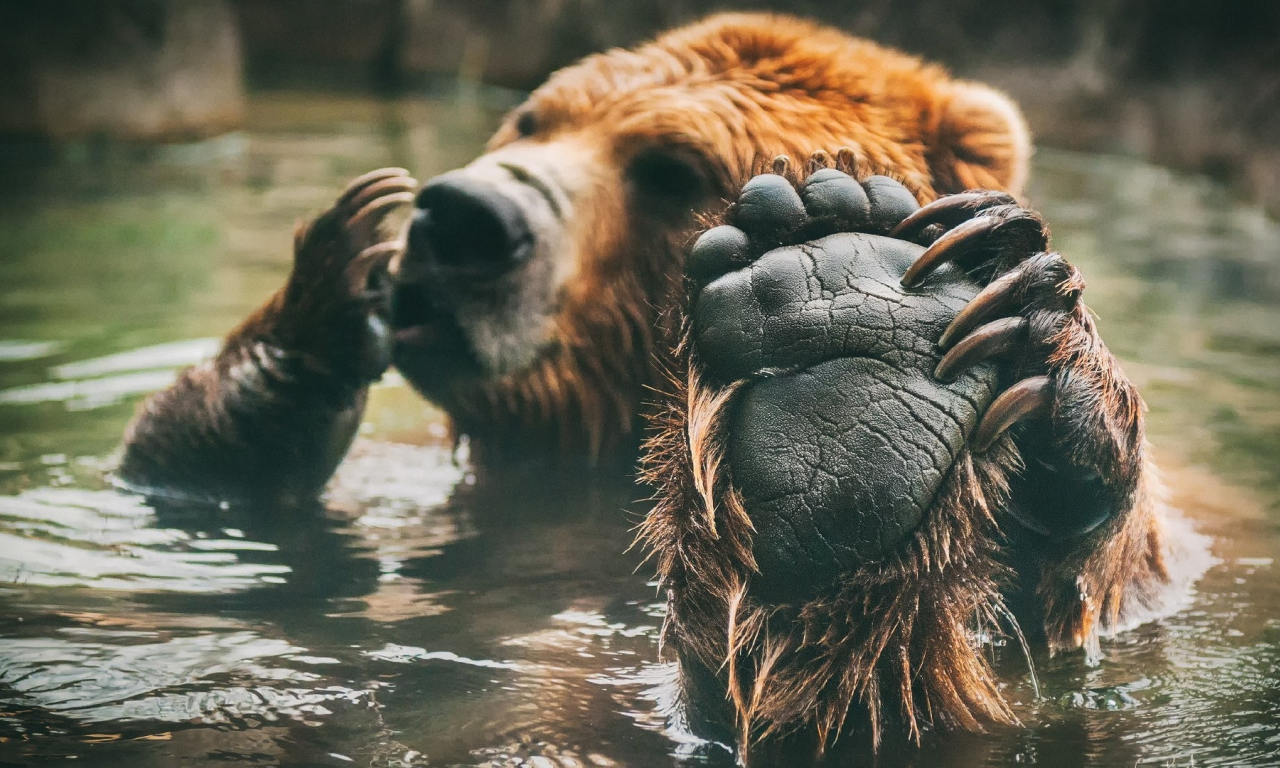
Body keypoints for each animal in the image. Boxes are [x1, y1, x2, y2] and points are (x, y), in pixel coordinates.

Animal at [115, 12, 1172, 762]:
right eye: (534, 117)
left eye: (669, 166)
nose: (463, 217)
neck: (591, 445)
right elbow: (176, 487)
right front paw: (340, 269)